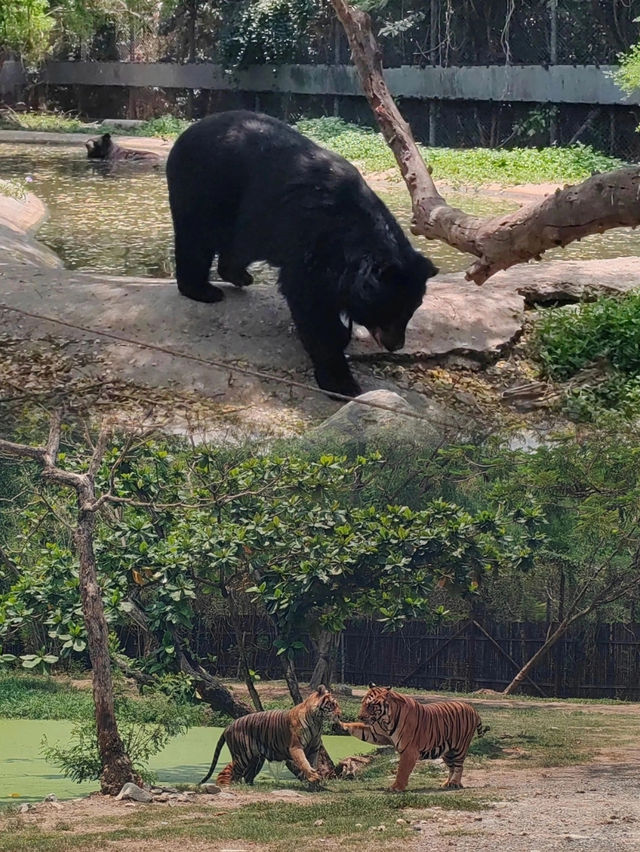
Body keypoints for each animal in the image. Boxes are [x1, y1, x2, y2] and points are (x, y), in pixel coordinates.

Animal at [165, 109, 438, 396]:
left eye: (412, 309)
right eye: (390, 309)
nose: (396, 344)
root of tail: (187, 133)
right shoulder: (312, 238)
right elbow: (310, 302)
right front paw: (342, 382)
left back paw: (238, 275)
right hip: (206, 184)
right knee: (196, 237)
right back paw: (203, 291)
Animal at [199, 684, 340, 784]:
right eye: (332, 705)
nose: (340, 714)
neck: (317, 722)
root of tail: (228, 726)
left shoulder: (314, 748)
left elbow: (312, 763)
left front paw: (313, 780)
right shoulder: (296, 747)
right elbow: (304, 762)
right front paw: (313, 777)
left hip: (255, 759)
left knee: (247, 776)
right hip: (242, 756)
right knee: (234, 774)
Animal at [342, 684, 488, 796]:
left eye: (371, 705)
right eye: (362, 703)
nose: (360, 716)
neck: (385, 720)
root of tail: (473, 709)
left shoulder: (409, 750)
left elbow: (402, 770)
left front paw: (396, 787)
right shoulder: (377, 734)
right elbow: (358, 729)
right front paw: (341, 724)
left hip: (459, 748)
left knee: (459, 767)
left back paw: (454, 783)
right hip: (447, 751)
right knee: (452, 767)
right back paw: (447, 783)